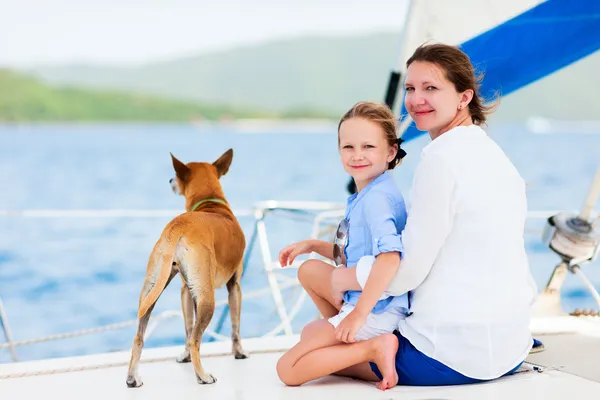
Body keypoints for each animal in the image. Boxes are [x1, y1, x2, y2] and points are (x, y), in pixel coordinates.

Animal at [125, 149, 247, 388]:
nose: (169, 180)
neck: (211, 205)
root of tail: (178, 226)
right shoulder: (234, 286)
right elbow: (235, 325)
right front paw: (239, 353)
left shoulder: (186, 291)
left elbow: (187, 325)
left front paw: (184, 357)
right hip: (208, 298)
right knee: (195, 339)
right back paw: (203, 376)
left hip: (152, 289)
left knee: (139, 336)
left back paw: (132, 378)